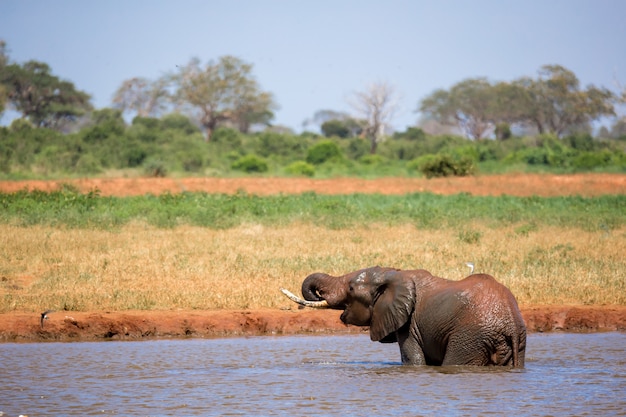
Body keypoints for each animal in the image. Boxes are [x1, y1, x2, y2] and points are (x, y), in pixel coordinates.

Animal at [280, 264, 524, 366]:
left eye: (350, 288)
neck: (395, 274)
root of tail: (511, 324)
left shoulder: (410, 325)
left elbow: (413, 360)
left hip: (470, 336)